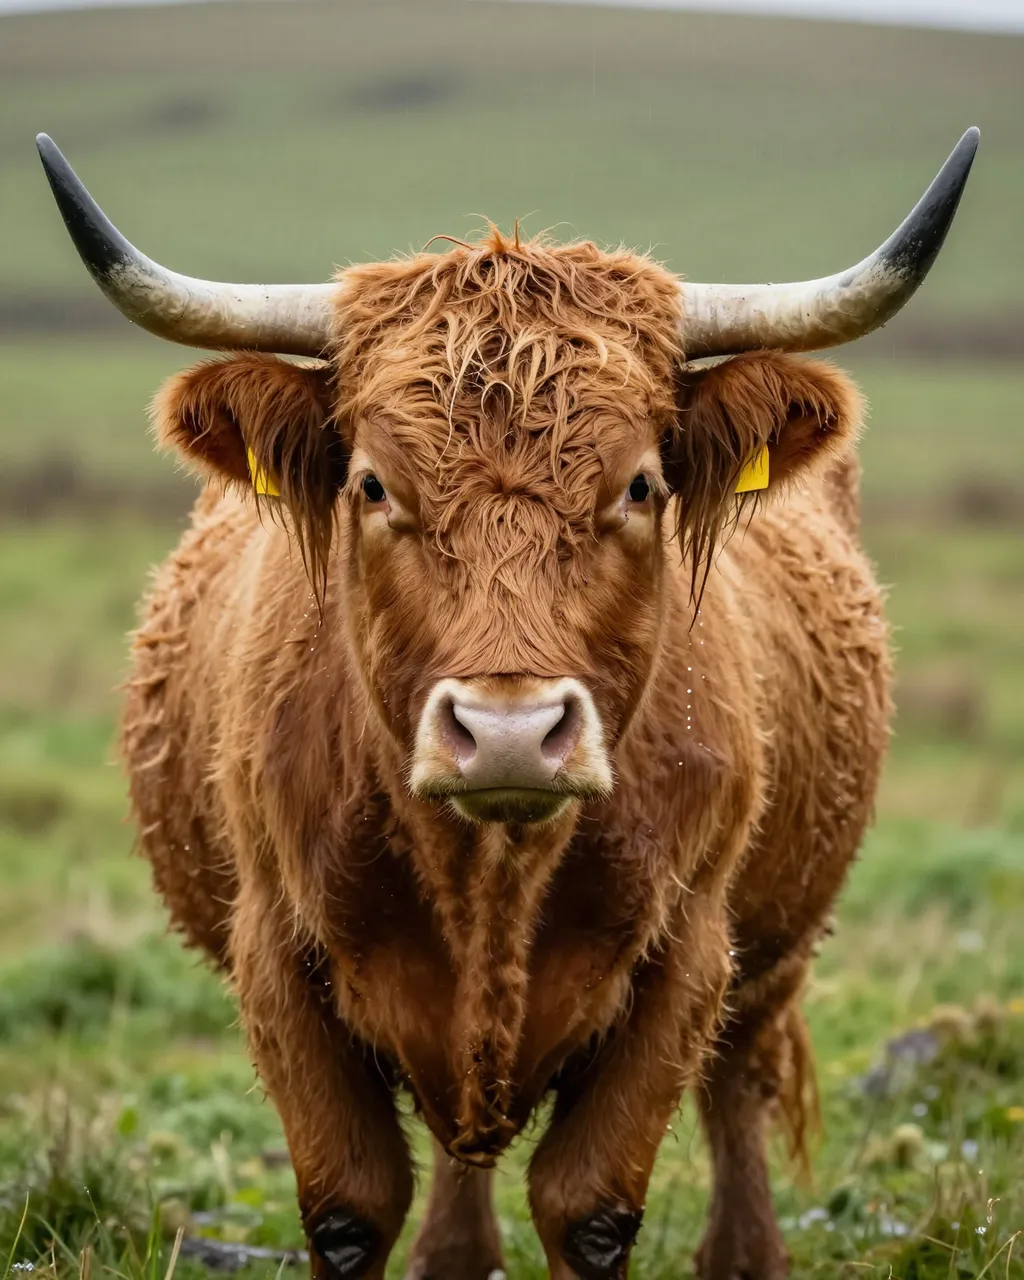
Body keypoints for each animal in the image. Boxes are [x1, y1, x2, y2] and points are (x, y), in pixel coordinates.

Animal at [37, 128, 978, 1280]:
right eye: (373, 484)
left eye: (638, 485)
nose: (509, 734)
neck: (489, 870)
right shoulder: (275, 956)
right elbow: (351, 1207)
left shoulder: (685, 957)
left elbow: (590, 1205)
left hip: (776, 950)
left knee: (738, 1090)